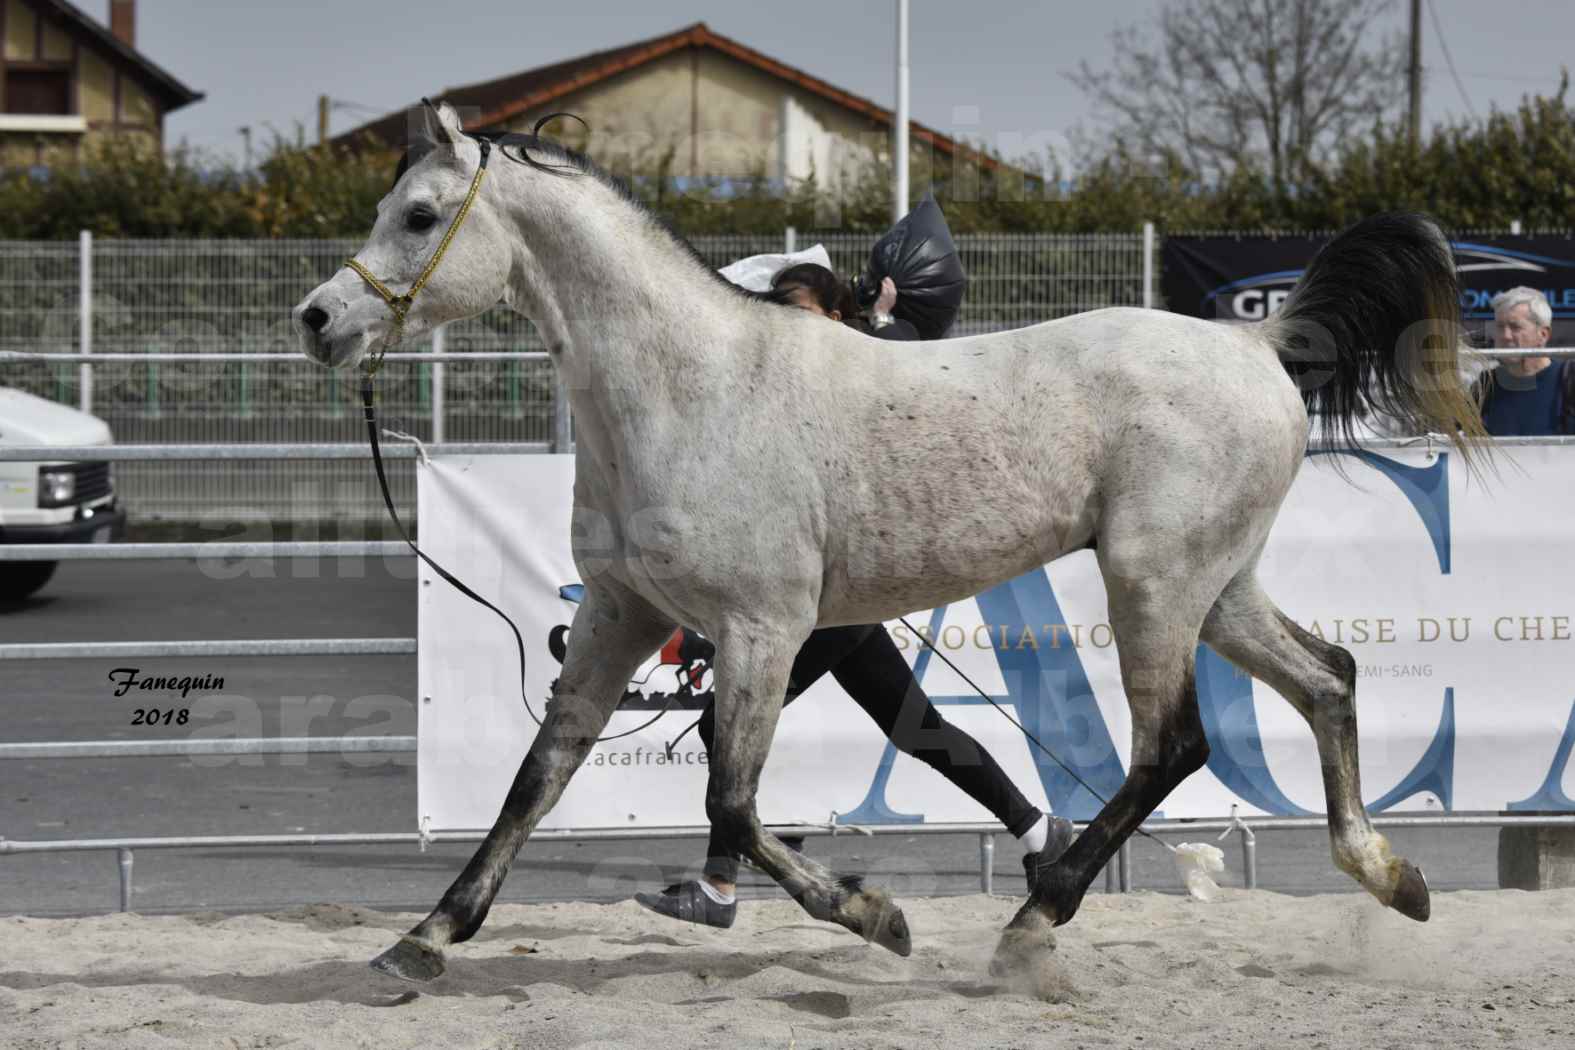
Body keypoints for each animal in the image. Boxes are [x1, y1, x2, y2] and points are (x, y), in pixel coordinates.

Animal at [296, 102, 1486, 982]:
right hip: (1218, 586)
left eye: (419, 215)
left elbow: (732, 797)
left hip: (1152, 583)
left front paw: (875, 917)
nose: (318, 321)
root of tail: (1258, 345)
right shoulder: (620, 614)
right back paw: (1392, 877)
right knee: (1328, 678)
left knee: (1174, 747)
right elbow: (539, 776)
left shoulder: (762, 628)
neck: (686, 389)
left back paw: (1032, 924)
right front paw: (425, 938)